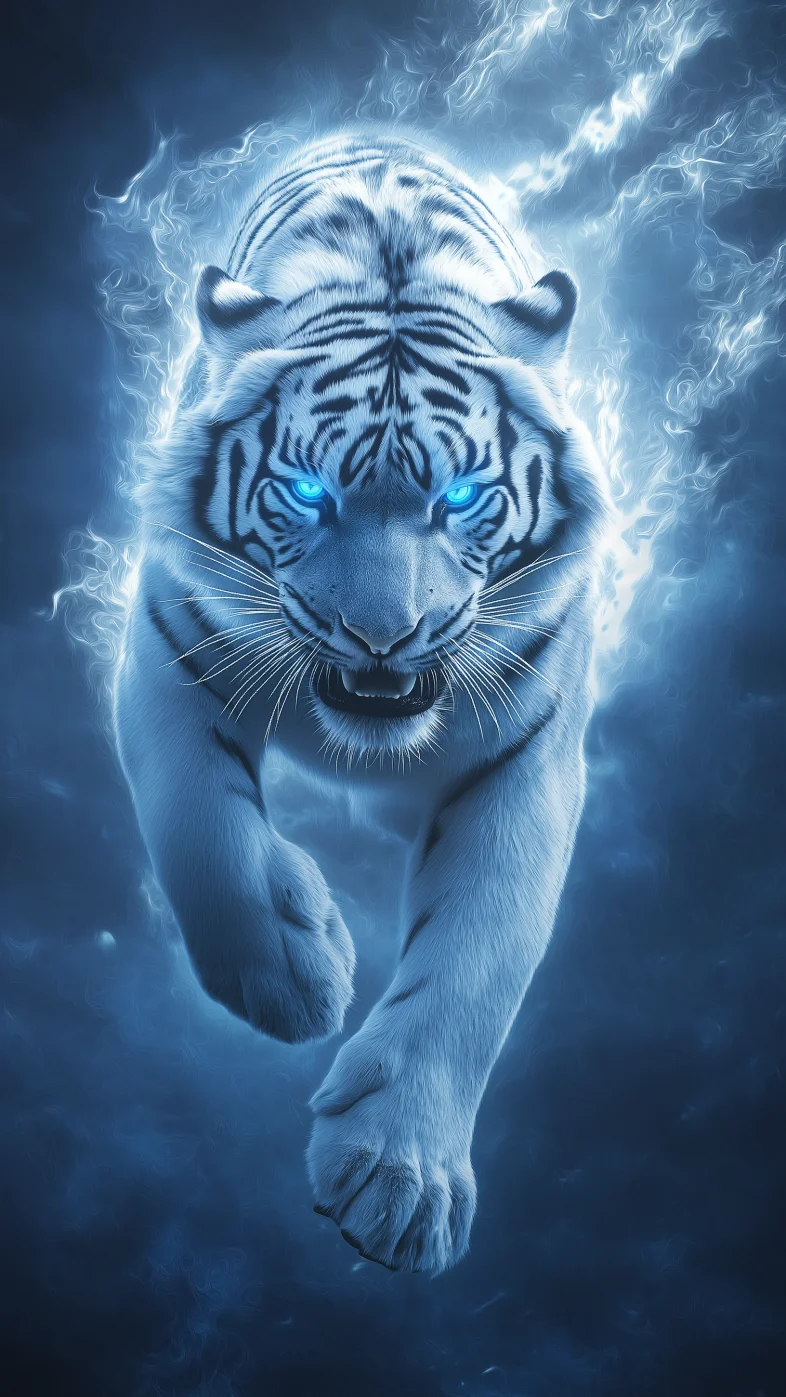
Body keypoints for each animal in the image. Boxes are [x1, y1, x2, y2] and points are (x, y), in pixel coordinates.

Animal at [113, 133, 610, 1275]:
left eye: (460, 499)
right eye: (306, 491)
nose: (383, 637)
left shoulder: (530, 759)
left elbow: (478, 956)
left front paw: (399, 1180)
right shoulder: (168, 646)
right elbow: (199, 828)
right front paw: (293, 978)